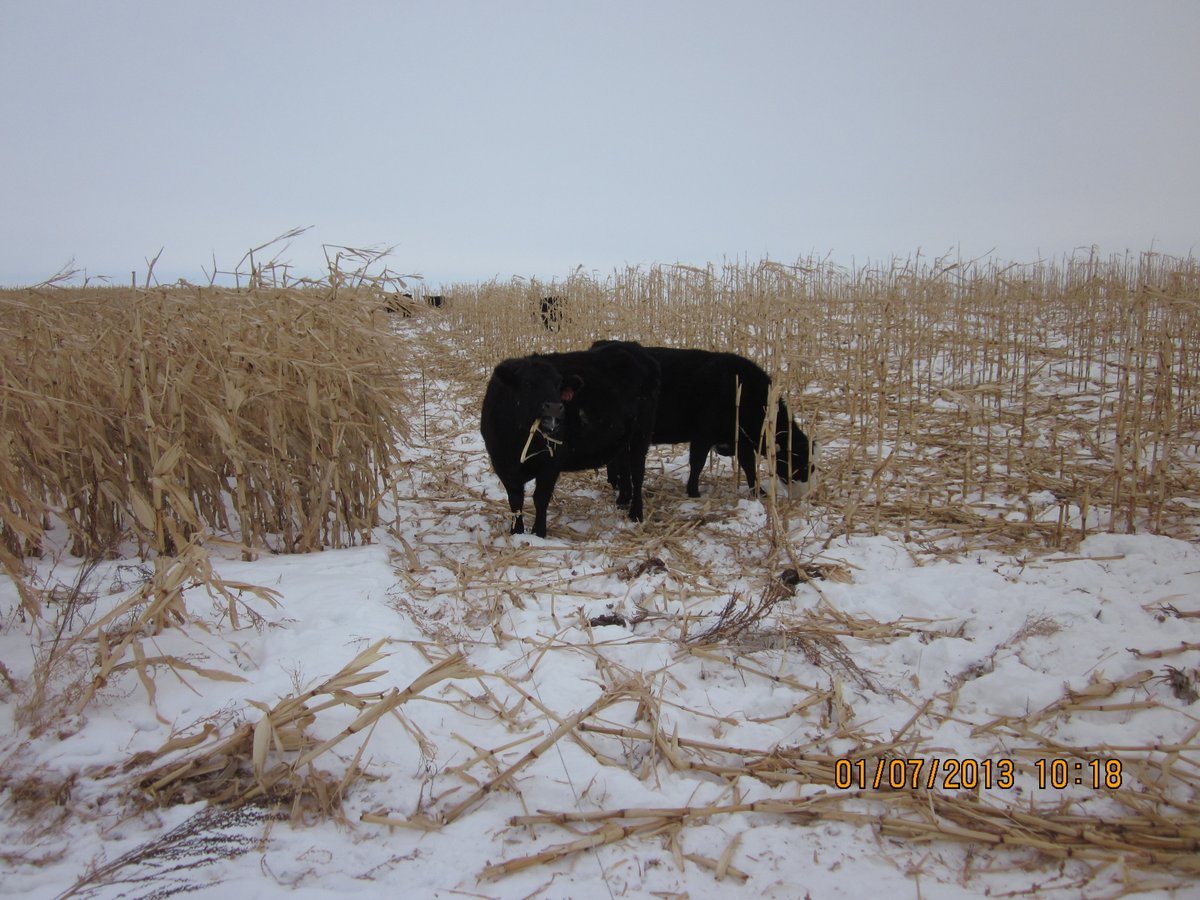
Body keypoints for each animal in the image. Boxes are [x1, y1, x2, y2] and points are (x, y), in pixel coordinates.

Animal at [480, 342, 660, 538]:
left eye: (559, 384)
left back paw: (636, 513)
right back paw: (623, 501)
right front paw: (516, 532)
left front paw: (539, 533)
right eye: (528, 384)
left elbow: (540, 498)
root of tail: (633, 347)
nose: (555, 407)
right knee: (624, 464)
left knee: (638, 473)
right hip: (621, 438)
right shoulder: (502, 464)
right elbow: (515, 501)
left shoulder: (552, 462)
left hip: (641, 434)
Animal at [593, 342, 815, 498]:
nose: (806, 496)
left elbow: (749, 466)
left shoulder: (739, 438)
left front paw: (758, 492)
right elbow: (697, 463)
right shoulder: (703, 435)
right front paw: (693, 492)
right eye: (801, 466)